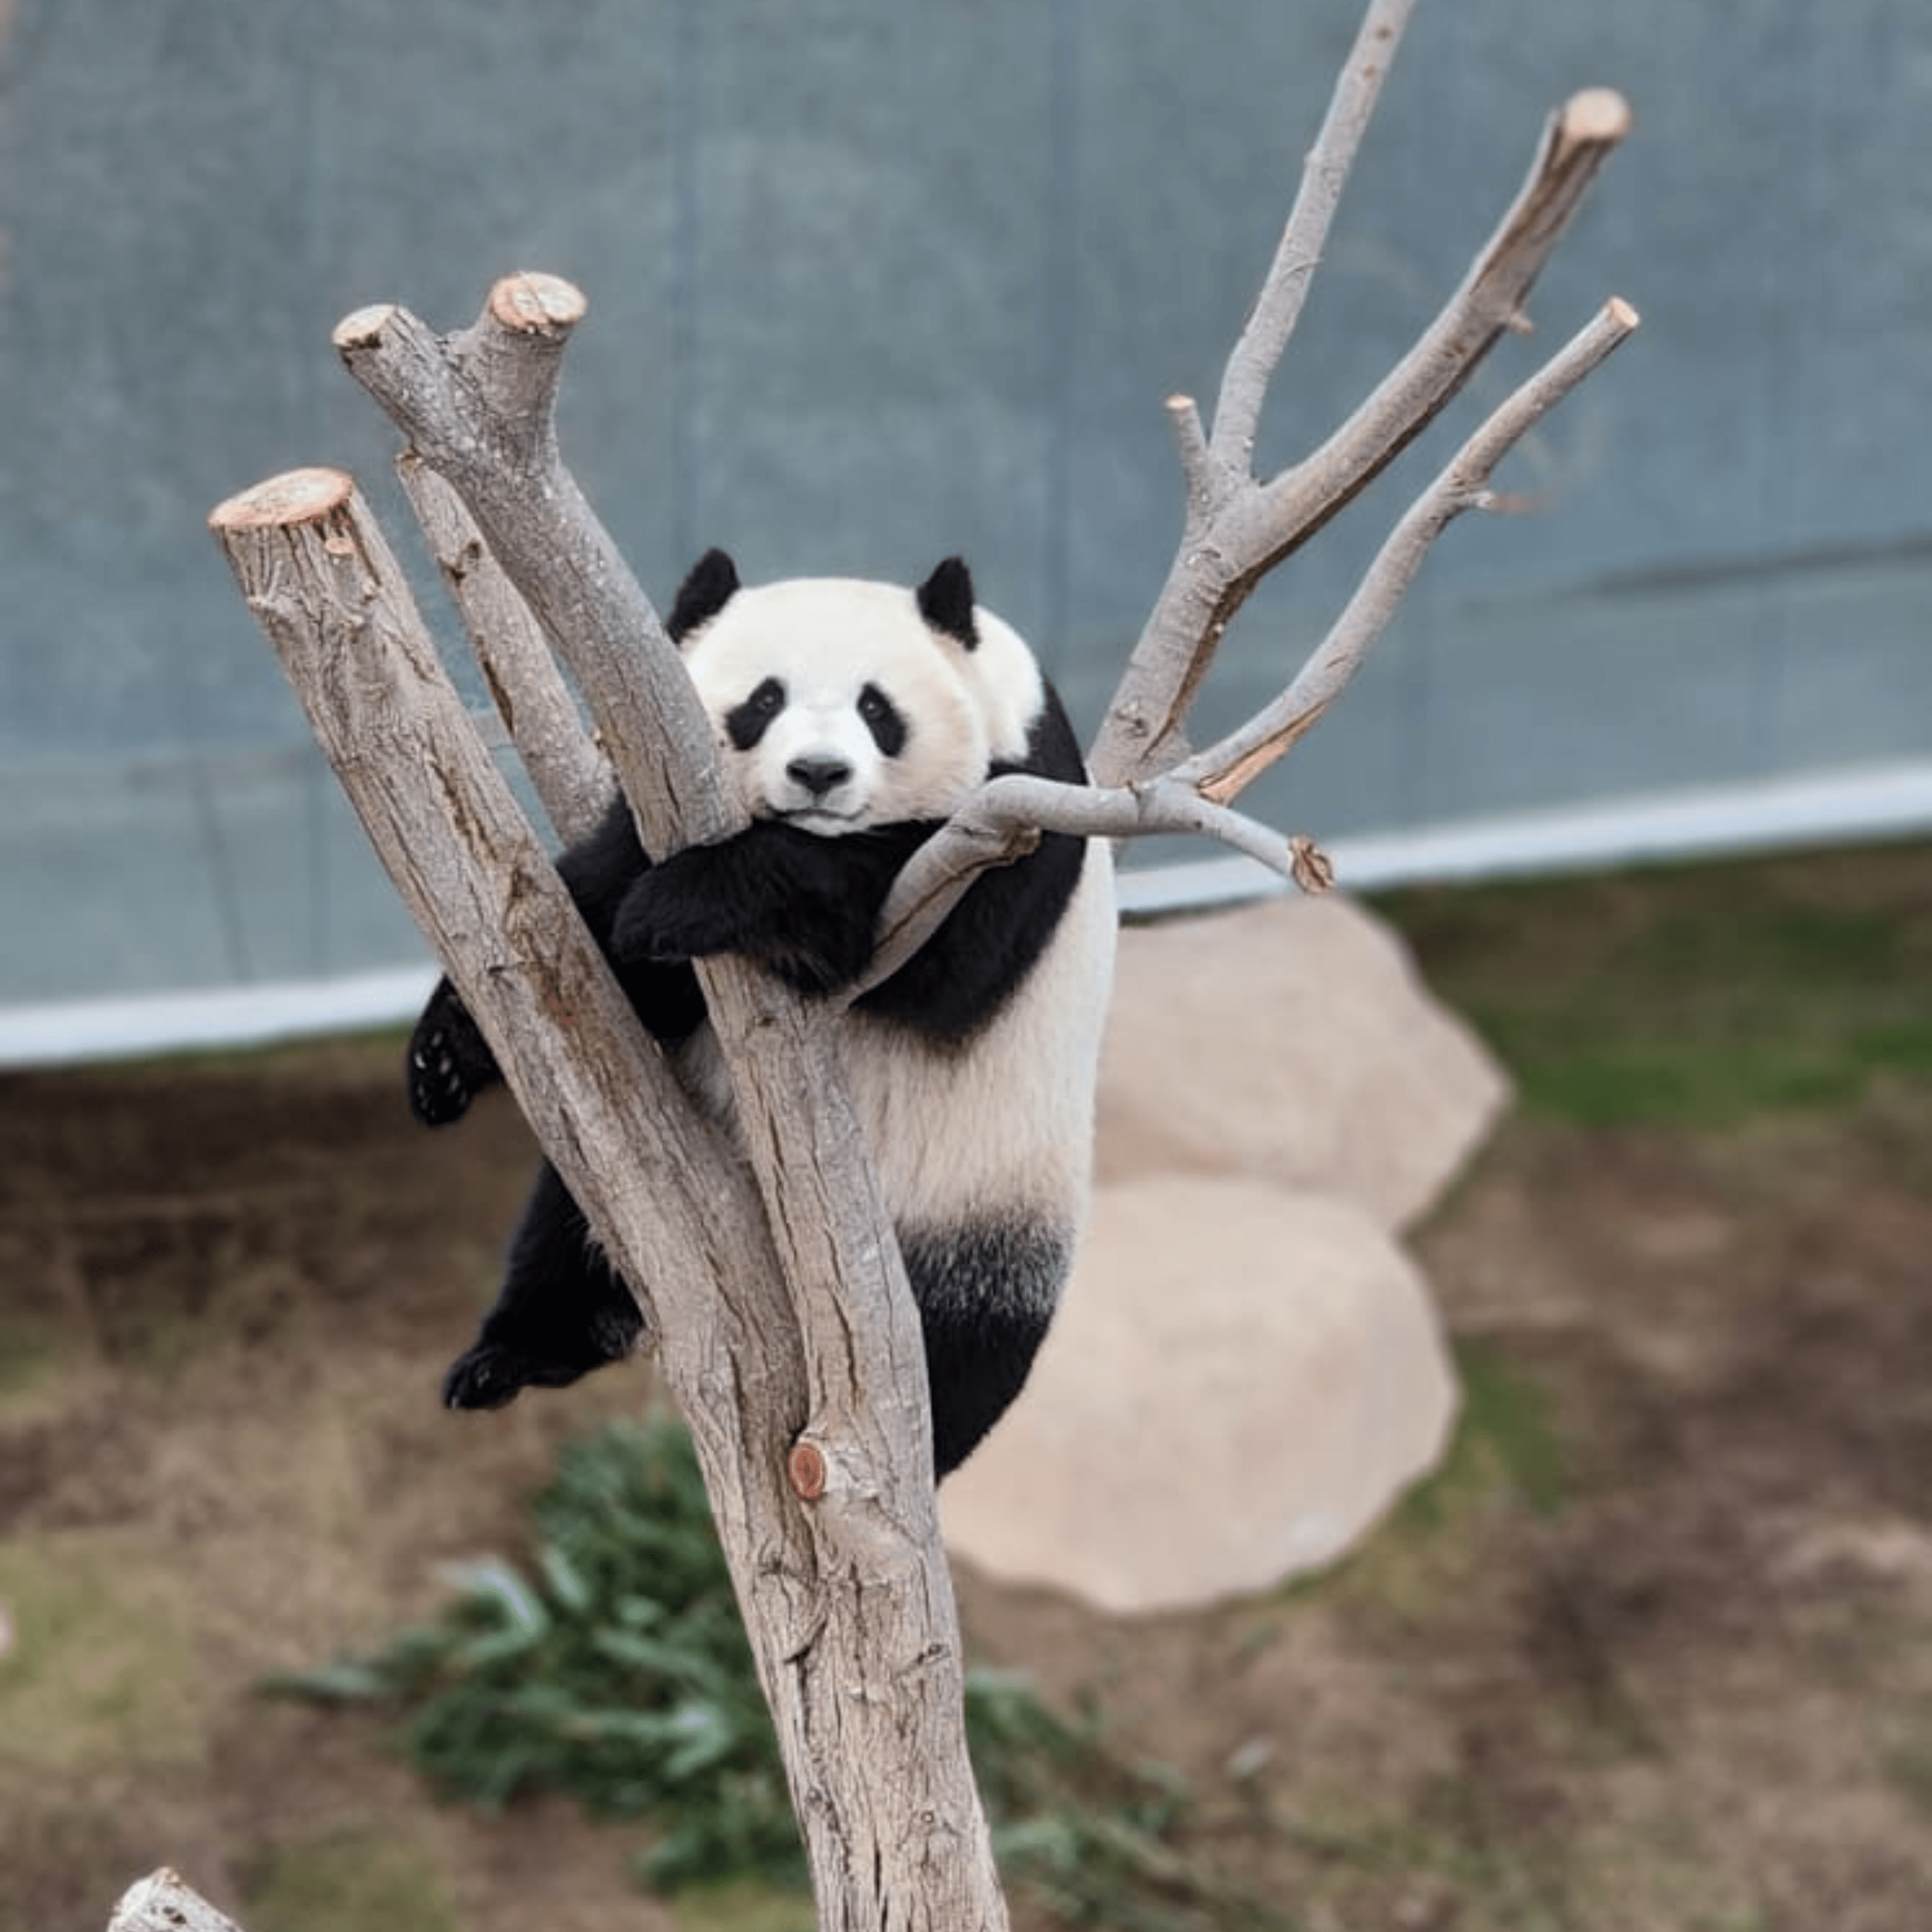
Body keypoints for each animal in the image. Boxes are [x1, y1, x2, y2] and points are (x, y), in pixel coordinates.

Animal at [405, 549, 1117, 1479]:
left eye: (877, 709)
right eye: (763, 702)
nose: (818, 774)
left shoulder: (1015, 818)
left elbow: (918, 945)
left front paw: (685, 900)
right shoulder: (648, 813)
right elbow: (602, 944)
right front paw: (446, 1053)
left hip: (986, 1216)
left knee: (971, 1343)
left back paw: (916, 1450)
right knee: (566, 1232)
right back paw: (515, 1356)